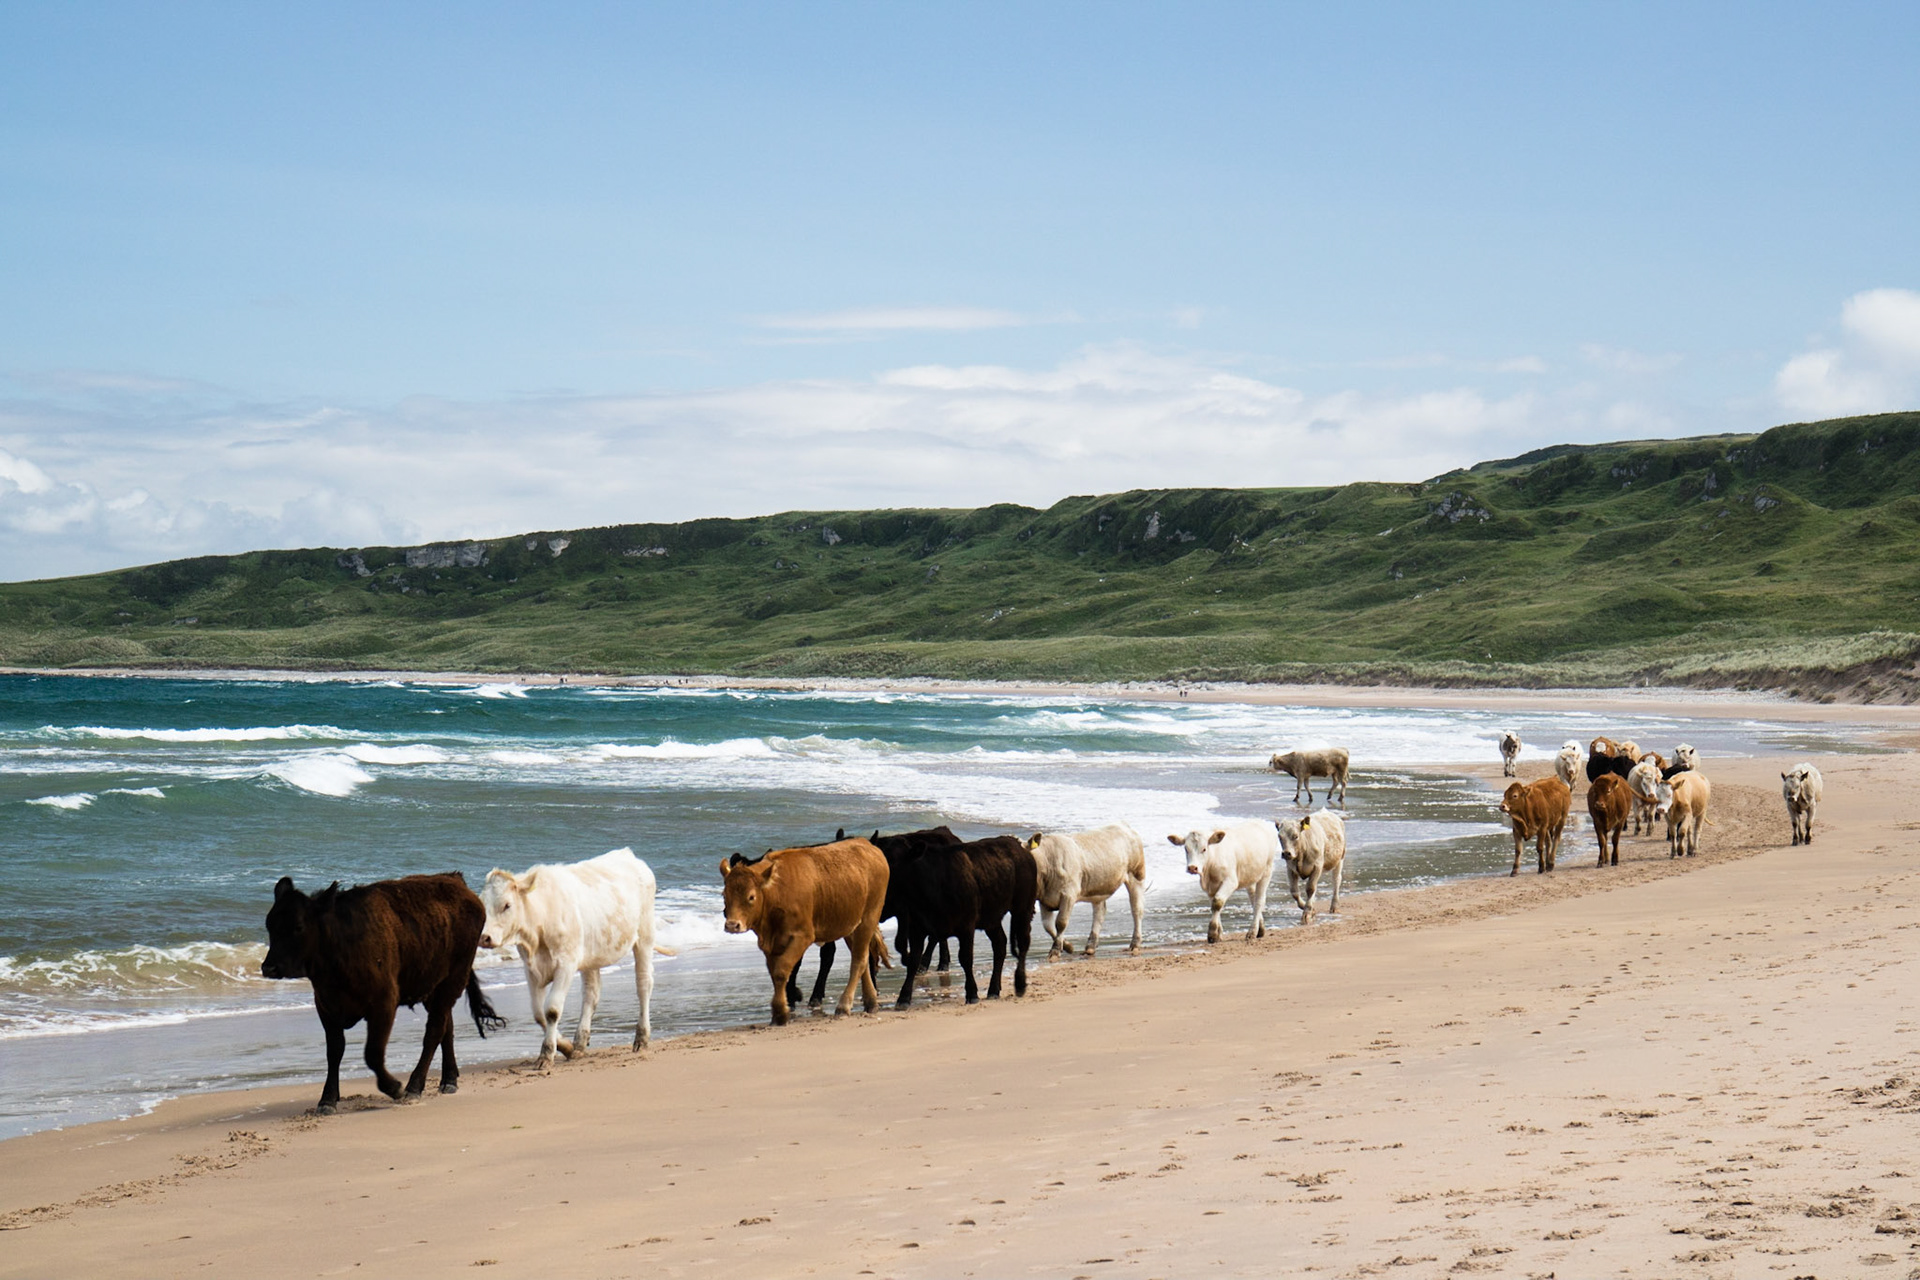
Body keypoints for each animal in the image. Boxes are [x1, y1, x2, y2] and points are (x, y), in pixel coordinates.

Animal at [262, 872, 505, 1115]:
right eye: (269, 925)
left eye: (298, 926)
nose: (268, 968)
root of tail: (454, 879)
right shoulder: (325, 1006)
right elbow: (334, 1051)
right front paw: (328, 1099)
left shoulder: (384, 1003)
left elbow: (373, 1053)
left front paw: (394, 1087)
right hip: (433, 987)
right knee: (447, 1027)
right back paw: (449, 1080)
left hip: (453, 980)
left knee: (434, 1031)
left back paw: (414, 1087)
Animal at [479, 848, 668, 1068]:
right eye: (482, 903)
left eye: (507, 905)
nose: (484, 937)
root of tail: (628, 854)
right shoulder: (531, 969)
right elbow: (538, 1013)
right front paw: (566, 1047)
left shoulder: (566, 964)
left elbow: (552, 1010)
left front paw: (547, 1054)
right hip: (591, 954)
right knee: (591, 994)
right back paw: (579, 1042)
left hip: (645, 937)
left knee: (644, 984)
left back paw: (641, 1038)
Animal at [719, 837, 888, 1025]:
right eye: (724, 895)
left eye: (751, 897)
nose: (732, 925)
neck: (776, 892)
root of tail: (867, 845)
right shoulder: (770, 943)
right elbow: (774, 973)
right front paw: (780, 1011)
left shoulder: (803, 936)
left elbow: (781, 971)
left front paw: (780, 1012)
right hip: (851, 926)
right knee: (862, 957)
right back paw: (871, 1002)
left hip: (869, 918)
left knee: (858, 961)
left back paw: (844, 1006)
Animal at [891, 835, 1036, 1006]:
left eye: (893, 861)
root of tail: (1018, 846)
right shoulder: (917, 928)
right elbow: (913, 960)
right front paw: (903, 998)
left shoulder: (966, 925)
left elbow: (965, 958)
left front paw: (972, 994)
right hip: (991, 918)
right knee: (1000, 944)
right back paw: (993, 990)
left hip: (1023, 908)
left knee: (1023, 942)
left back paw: (1019, 984)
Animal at [1025, 822, 1147, 959]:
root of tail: (1123, 825)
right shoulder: (1045, 899)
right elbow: (1048, 926)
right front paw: (1067, 946)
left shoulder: (1069, 894)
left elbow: (1061, 922)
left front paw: (1055, 950)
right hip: (1099, 886)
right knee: (1099, 913)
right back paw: (1090, 946)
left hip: (1136, 874)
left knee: (1137, 910)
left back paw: (1135, 943)